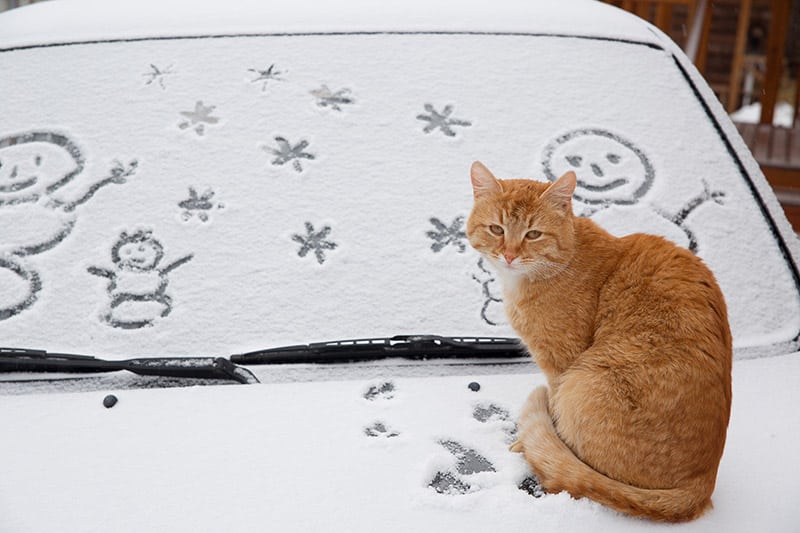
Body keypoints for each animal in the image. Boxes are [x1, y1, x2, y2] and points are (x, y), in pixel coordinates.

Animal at [462, 161, 732, 520]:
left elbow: (554, 411)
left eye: (533, 234)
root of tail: (702, 483)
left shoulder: (561, 364)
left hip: (583, 380)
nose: (508, 255)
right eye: (496, 229)